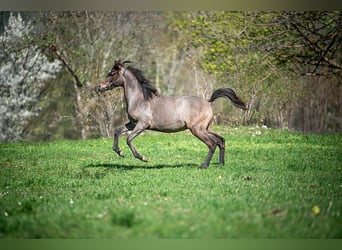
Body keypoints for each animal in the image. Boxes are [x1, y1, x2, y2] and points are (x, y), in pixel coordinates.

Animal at [97, 60, 247, 168]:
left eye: (111, 73)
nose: (99, 87)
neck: (140, 99)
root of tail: (208, 102)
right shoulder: (132, 124)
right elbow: (117, 131)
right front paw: (119, 152)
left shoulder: (143, 124)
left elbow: (128, 139)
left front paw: (143, 158)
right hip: (205, 128)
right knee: (220, 140)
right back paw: (221, 164)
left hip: (197, 129)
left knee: (212, 144)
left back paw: (203, 166)